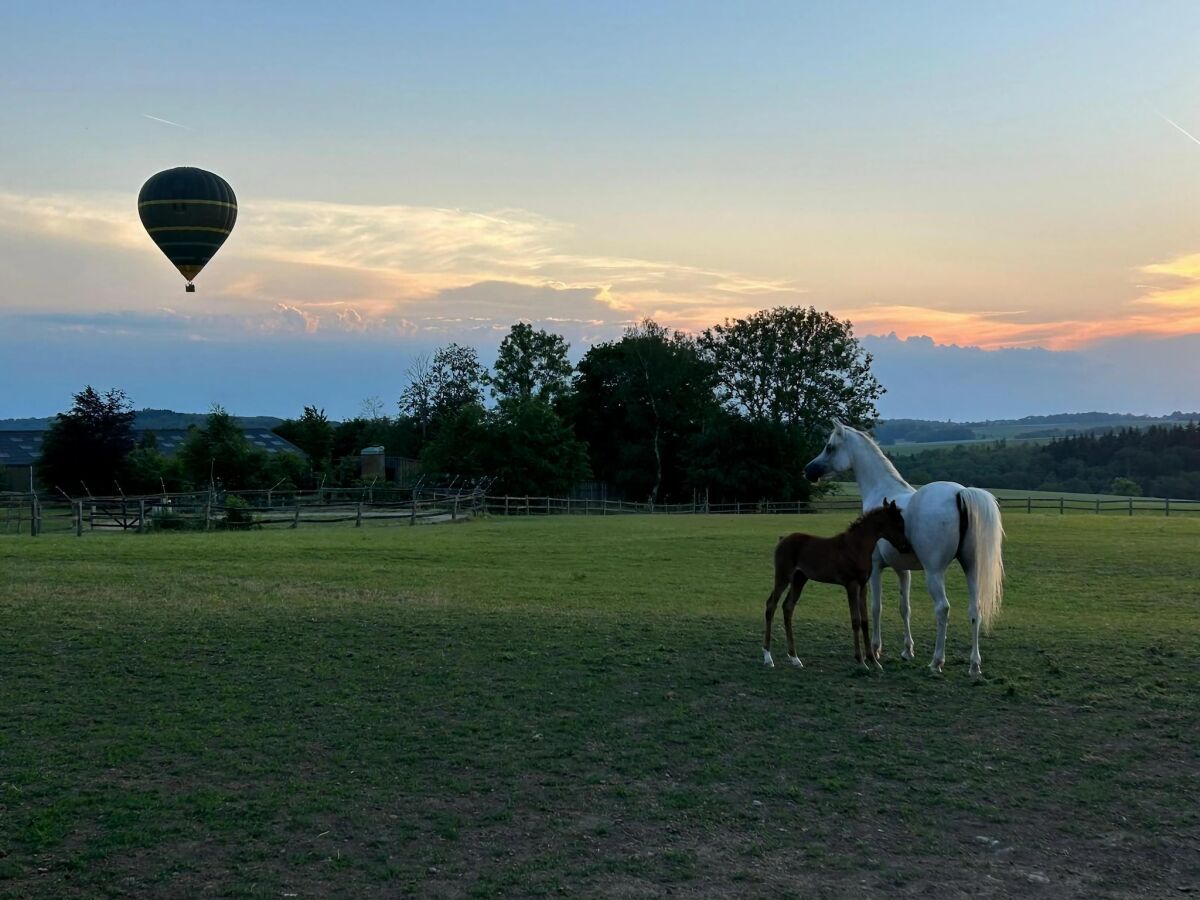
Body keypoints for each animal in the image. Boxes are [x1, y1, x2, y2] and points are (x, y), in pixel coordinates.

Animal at [758, 501, 907, 672]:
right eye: (899, 525)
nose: (906, 547)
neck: (856, 547)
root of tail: (782, 539)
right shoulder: (851, 584)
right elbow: (855, 620)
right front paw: (861, 661)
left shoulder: (863, 586)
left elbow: (865, 621)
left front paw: (873, 661)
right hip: (783, 577)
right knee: (771, 605)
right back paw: (768, 657)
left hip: (799, 579)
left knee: (788, 607)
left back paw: (795, 658)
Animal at [801, 422, 1008, 676]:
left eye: (830, 447)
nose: (808, 470)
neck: (881, 491)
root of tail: (960, 493)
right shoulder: (903, 570)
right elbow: (904, 608)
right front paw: (908, 651)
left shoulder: (875, 568)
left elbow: (876, 607)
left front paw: (876, 650)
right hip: (971, 568)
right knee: (974, 609)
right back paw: (974, 665)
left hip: (934, 573)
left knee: (943, 608)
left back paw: (936, 662)